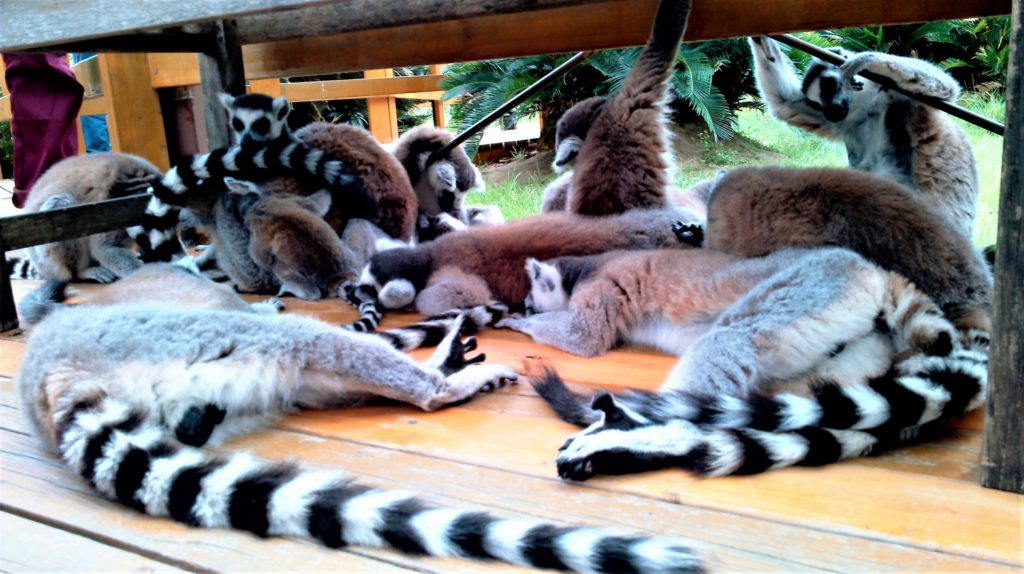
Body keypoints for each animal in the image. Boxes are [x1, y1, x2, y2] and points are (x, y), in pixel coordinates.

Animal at [748, 36, 978, 238]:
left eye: (829, 86)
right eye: (816, 103)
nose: (831, 112)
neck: (867, 105)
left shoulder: (894, 94)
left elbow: (947, 88)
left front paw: (868, 59)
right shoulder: (846, 119)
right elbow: (783, 102)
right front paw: (759, 39)